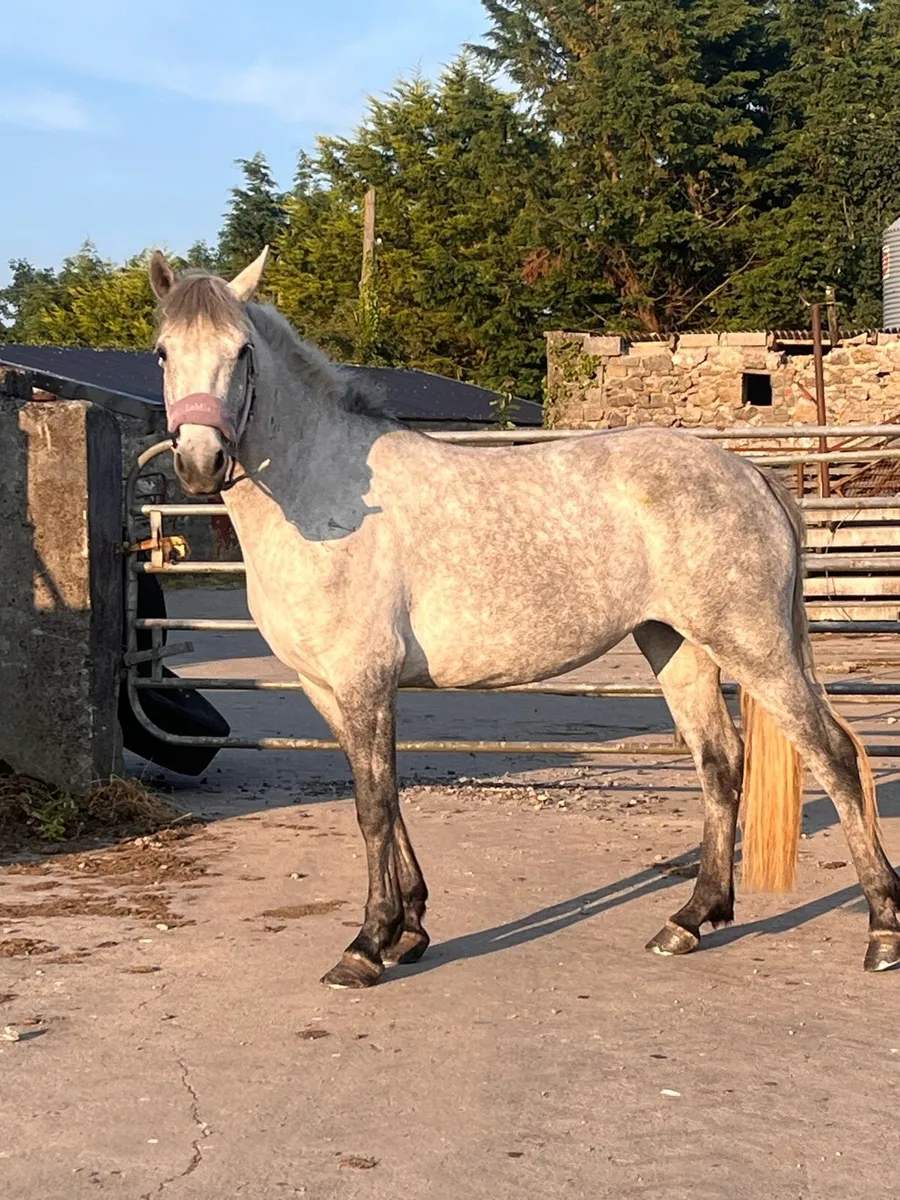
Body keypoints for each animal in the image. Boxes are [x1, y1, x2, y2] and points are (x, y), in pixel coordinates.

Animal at [147, 247, 900, 988]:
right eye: (162, 352)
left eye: (241, 350)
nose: (201, 461)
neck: (325, 497)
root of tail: (752, 476)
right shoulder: (324, 687)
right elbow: (386, 797)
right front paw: (410, 929)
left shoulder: (363, 681)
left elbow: (372, 806)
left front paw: (367, 944)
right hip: (676, 644)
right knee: (719, 761)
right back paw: (690, 920)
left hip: (754, 645)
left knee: (833, 757)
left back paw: (882, 932)